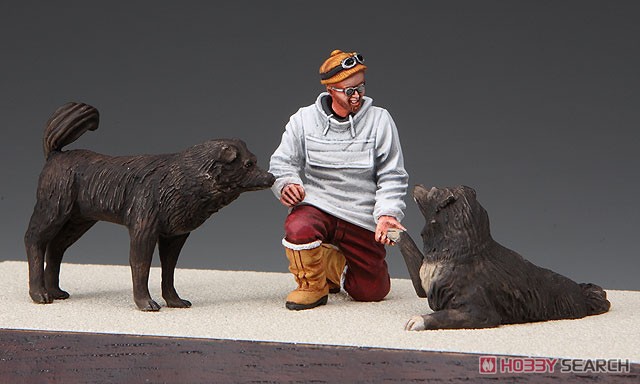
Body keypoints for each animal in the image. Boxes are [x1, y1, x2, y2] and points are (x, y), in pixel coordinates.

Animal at [25, 103, 276, 312]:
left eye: (255, 160)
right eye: (248, 164)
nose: (272, 177)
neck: (185, 178)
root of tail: (55, 154)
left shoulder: (175, 236)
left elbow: (169, 270)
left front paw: (174, 301)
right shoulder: (143, 231)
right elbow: (141, 266)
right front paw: (145, 303)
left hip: (79, 221)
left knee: (56, 247)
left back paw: (56, 292)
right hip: (54, 210)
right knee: (34, 240)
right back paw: (39, 294)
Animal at [398, 186, 612, 330]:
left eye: (433, 191)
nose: (417, 185)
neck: (461, 251)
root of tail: (582, 293)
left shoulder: (481, 313)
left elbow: (443, 316)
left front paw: (418, 320)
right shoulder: (424, 285)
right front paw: (393, 229)